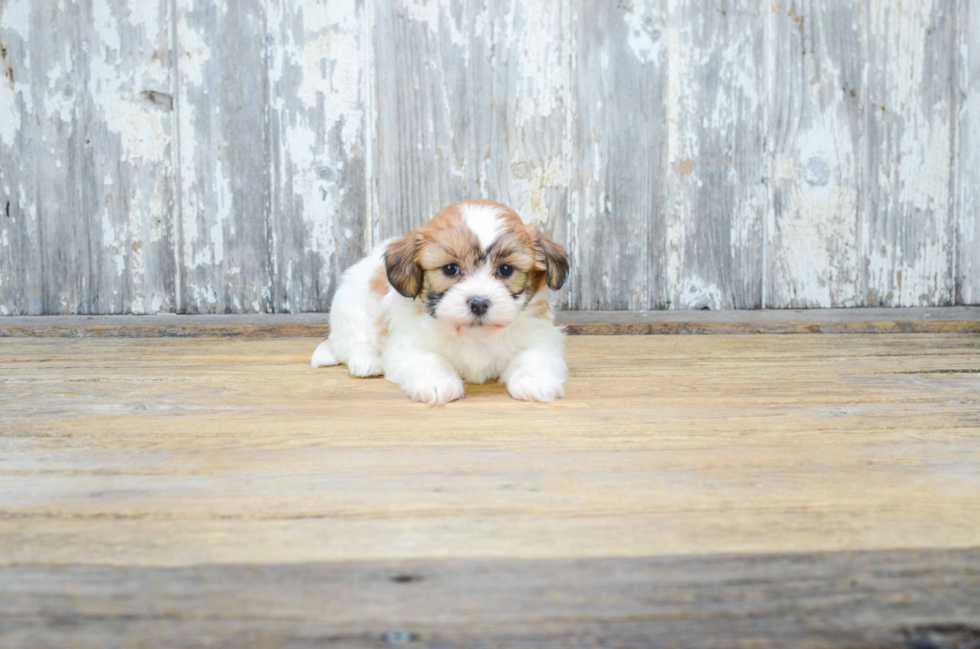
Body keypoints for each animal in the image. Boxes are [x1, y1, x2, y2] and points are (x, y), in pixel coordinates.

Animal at [310, 200, 572, 404]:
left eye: (505, 270)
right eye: (450, 269)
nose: (478, 303)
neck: (473, 336)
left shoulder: (541, 337)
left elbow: (533, 356)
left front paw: (535, 380)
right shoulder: (408, 344)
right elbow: (428, 358)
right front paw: (437, 382)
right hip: (347, 307)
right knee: (351, 343)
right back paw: (367, 361)